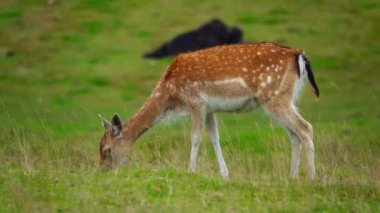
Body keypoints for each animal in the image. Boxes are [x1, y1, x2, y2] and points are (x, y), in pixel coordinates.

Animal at [99, 41, 320, 180]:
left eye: (107, 150)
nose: (103, 172)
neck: (171, 95)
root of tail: (299, 55)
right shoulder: (210, 109)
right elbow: (214, 138)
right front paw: (225, 175)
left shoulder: (197, 103)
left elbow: (195, 137)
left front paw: (190, 171)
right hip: (285, 98)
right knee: (294, 134)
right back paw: (292, 177)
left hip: (274, 97)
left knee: (305, 127)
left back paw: (311, 178)